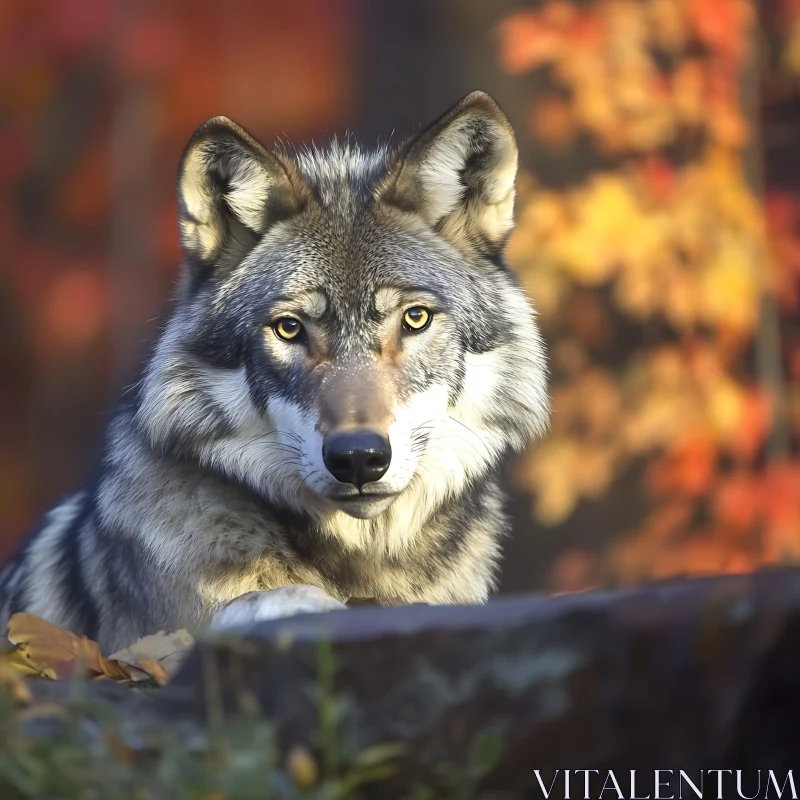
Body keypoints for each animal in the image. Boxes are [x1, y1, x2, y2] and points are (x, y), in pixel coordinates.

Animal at [0, 94, 548, 652]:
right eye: (289, 328)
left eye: (415, 319)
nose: (358, 459)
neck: (360, 565)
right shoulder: (146, 640)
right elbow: (248, 604)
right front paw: (302, 604)